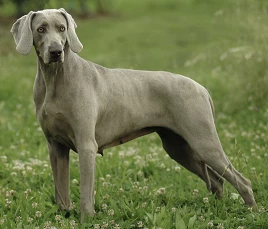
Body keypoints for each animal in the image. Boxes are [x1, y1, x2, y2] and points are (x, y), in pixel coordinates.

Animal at [11, 8, 258, 222]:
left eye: (62, 28)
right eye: (41, 29)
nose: (56, 52)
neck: (55, 78)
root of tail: (202, 88)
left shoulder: (86, 145)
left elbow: (85, 192)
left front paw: (86, 220)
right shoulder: (56, 147)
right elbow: (61, 190)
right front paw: (64, 217)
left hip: (203, 141)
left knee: (241, 180)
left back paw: (251, 213)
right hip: (178, 147)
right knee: (216, 181)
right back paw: (216, 209)